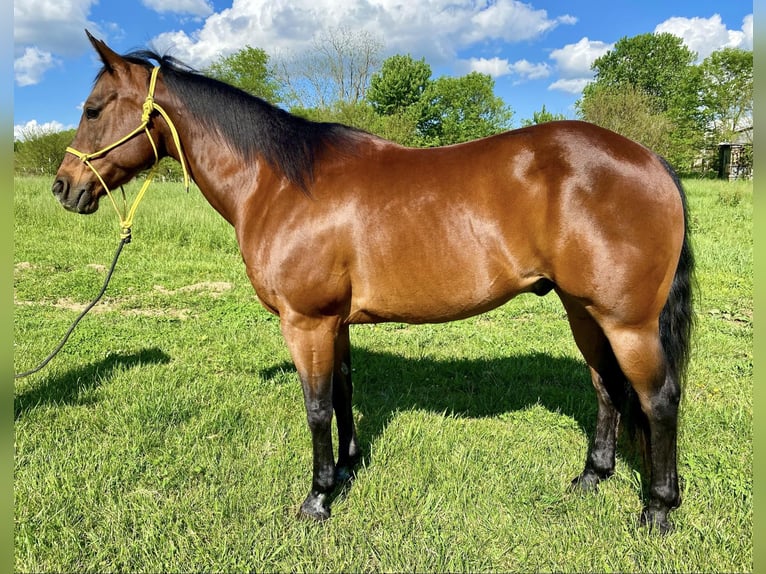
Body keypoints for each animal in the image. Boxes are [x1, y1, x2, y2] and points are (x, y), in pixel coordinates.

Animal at [53, 31, 694, 533]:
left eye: (93, 109)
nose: (63, 186)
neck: (280, 183)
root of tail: (652, 161)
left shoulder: (306, 322)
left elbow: (315, 407)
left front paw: (316, 500)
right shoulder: (333, 323)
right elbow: (341, 393)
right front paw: (345, 469)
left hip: (627, 322)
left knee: (657, 398)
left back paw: (657, 510)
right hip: (583, 311)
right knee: (607, 387)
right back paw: (592, 478)